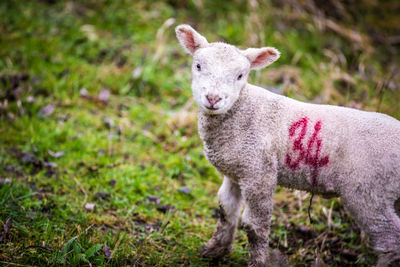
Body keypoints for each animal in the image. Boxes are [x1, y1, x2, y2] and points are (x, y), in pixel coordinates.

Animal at [174, 24, 400, 266]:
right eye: (198, 66)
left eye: (240, 75)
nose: (213, 99)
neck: (241, 111)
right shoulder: (236, 170)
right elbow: (226, 211)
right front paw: (215, 249)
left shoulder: (259, 172)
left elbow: (255, 226)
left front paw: (257, 261)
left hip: (369, 191)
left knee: (389, 241)